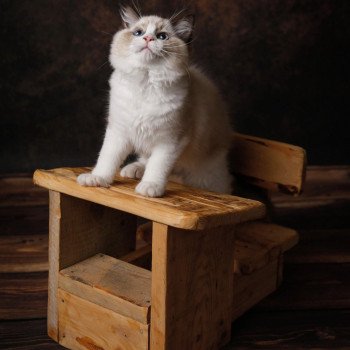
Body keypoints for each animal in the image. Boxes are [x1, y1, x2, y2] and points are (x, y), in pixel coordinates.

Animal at [78, 6, 234, 197]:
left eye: (162, 36)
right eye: (138, 33)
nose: (148, 38)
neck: (145, 83)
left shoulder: (170, 141)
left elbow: (158, 166)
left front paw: (150, 187)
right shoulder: (118, 131)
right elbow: (107, 158)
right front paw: (98, 179)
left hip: (204, 177)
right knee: (144, 160)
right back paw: (134, 170)